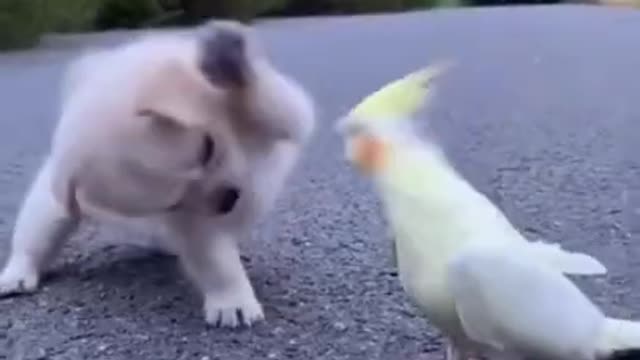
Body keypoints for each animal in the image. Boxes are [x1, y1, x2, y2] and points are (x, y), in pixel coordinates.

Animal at [0, 20, 316, 330]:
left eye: (207, 148)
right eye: (172, 203)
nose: (228, 201)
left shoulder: (284, 112)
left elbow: (277, 104)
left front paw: (227, 59)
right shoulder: (193, 219)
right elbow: (217, 261)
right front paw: (232, 303)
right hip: (48, 209)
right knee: (31, 241)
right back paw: (16, 276)